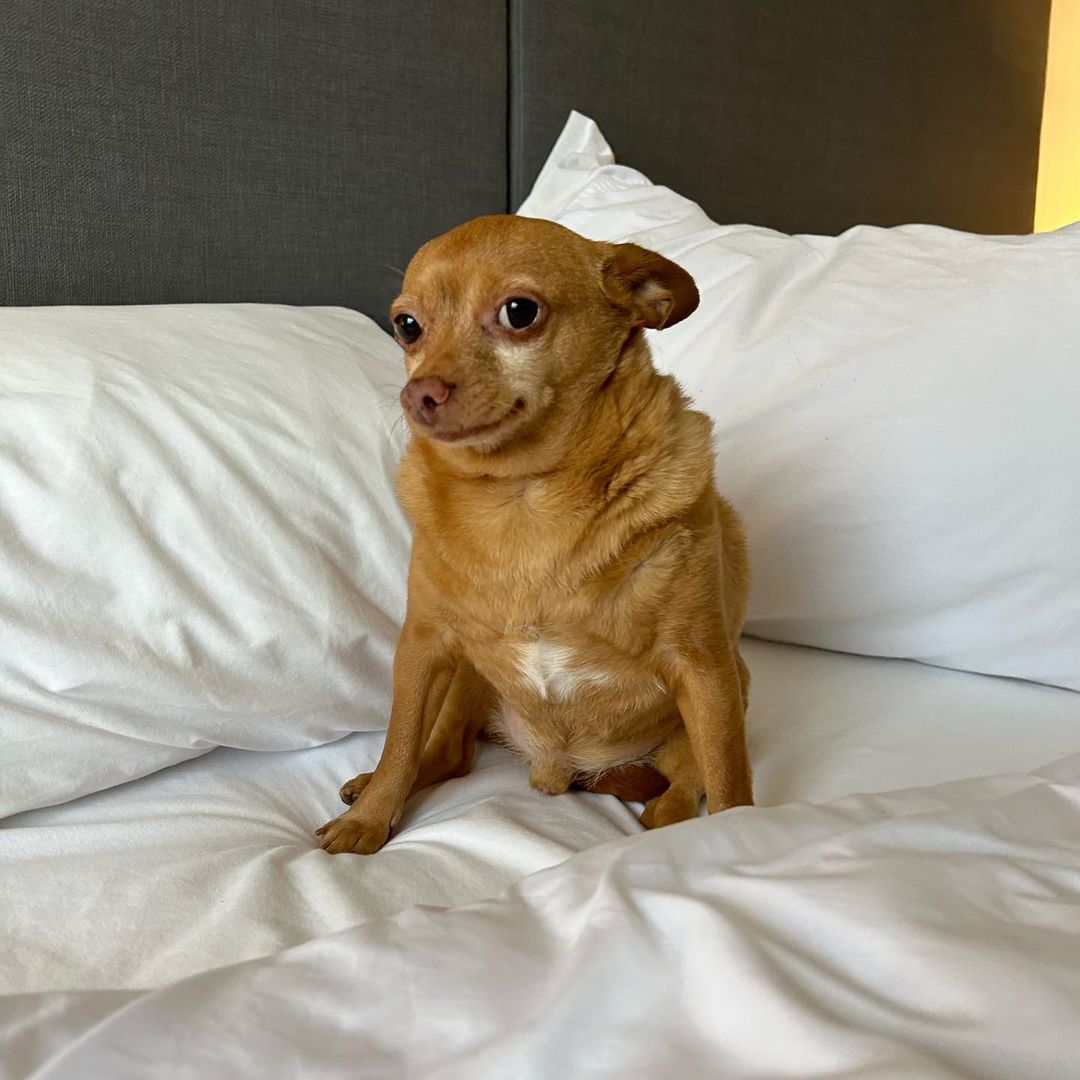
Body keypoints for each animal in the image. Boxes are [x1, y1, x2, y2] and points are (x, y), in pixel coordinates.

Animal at [315, 214, 751, 855]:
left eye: (519, 312)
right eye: (407, 326)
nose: (418, 393)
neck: (521, 497)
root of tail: (561, 769)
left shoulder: (704, 670)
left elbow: (729, 784)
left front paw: (747, 837)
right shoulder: (423, 646)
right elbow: (399, 742)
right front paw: (370, 819)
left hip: (732, 686)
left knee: (685, 779)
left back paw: (664, 815)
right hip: (465, 676)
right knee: (446, 752)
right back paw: (373, 783)